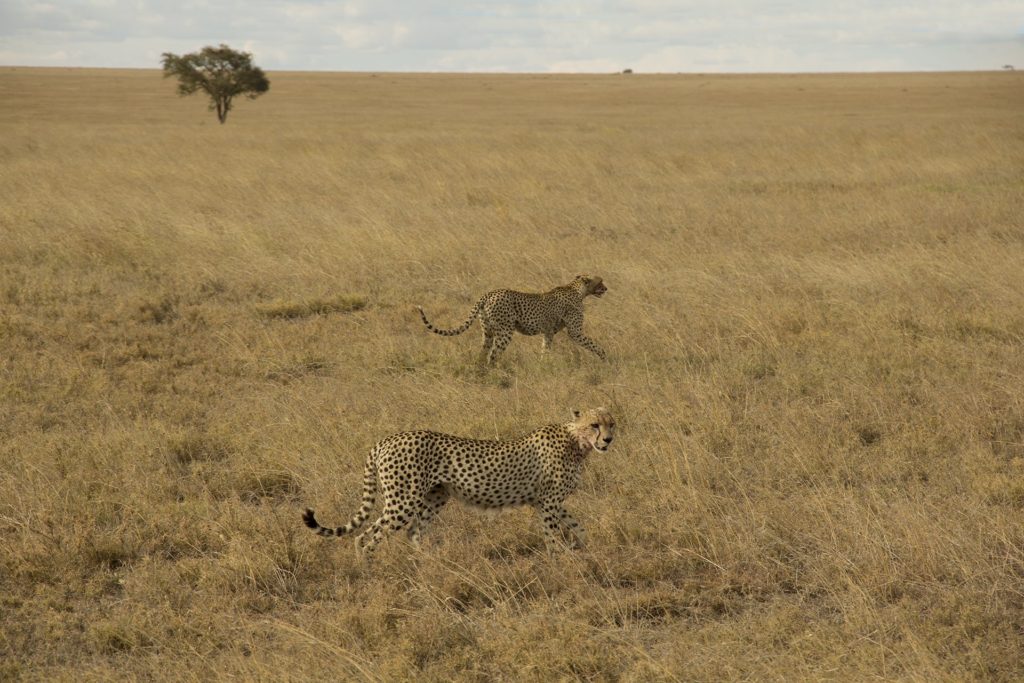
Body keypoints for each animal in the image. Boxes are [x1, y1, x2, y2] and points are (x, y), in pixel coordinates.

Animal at [303, 409, 614, 557]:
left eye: (612, 423)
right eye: (594, 425)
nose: (609, 439)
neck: (577, 442)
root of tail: (385, 440)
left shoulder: (548, 502)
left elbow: (579, 527)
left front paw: (581, 549)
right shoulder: (548, 503)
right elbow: (552, 535)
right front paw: (558, 560)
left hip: (434, 497)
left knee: (410, 533)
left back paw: (425, 567)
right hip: (402, 501)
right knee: (368, 538)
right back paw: (370, 573)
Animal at [415, 274, 606, 366]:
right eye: (600, 282)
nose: (606, 288)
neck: (578, 289)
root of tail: (489, 293)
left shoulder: (548, 332)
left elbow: (545, 349)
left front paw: (543, 364)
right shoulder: (575, 332)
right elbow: (593, 344)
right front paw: (604, 357)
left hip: (488, 332)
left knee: (483, 352)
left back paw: (481, 371)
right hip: (505, 331)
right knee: (493, 354)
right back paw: (498, 373)